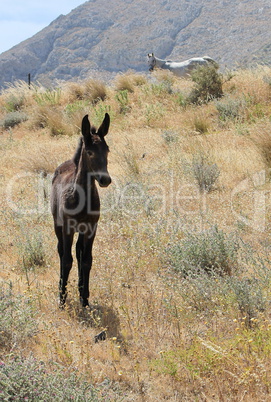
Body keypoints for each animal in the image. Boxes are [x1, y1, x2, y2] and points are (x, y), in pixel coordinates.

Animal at [50, 113, 111, 308]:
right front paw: (62, 299)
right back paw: (62, 287)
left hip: (81, 230)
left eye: (107, 150)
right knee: (62, 251)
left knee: (78, 251)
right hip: (57, 225)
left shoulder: (91, 228)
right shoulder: (68, 228)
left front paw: (84, 299)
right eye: (90, 152)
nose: (105, 180)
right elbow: (66, 260)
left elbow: (86, 260)